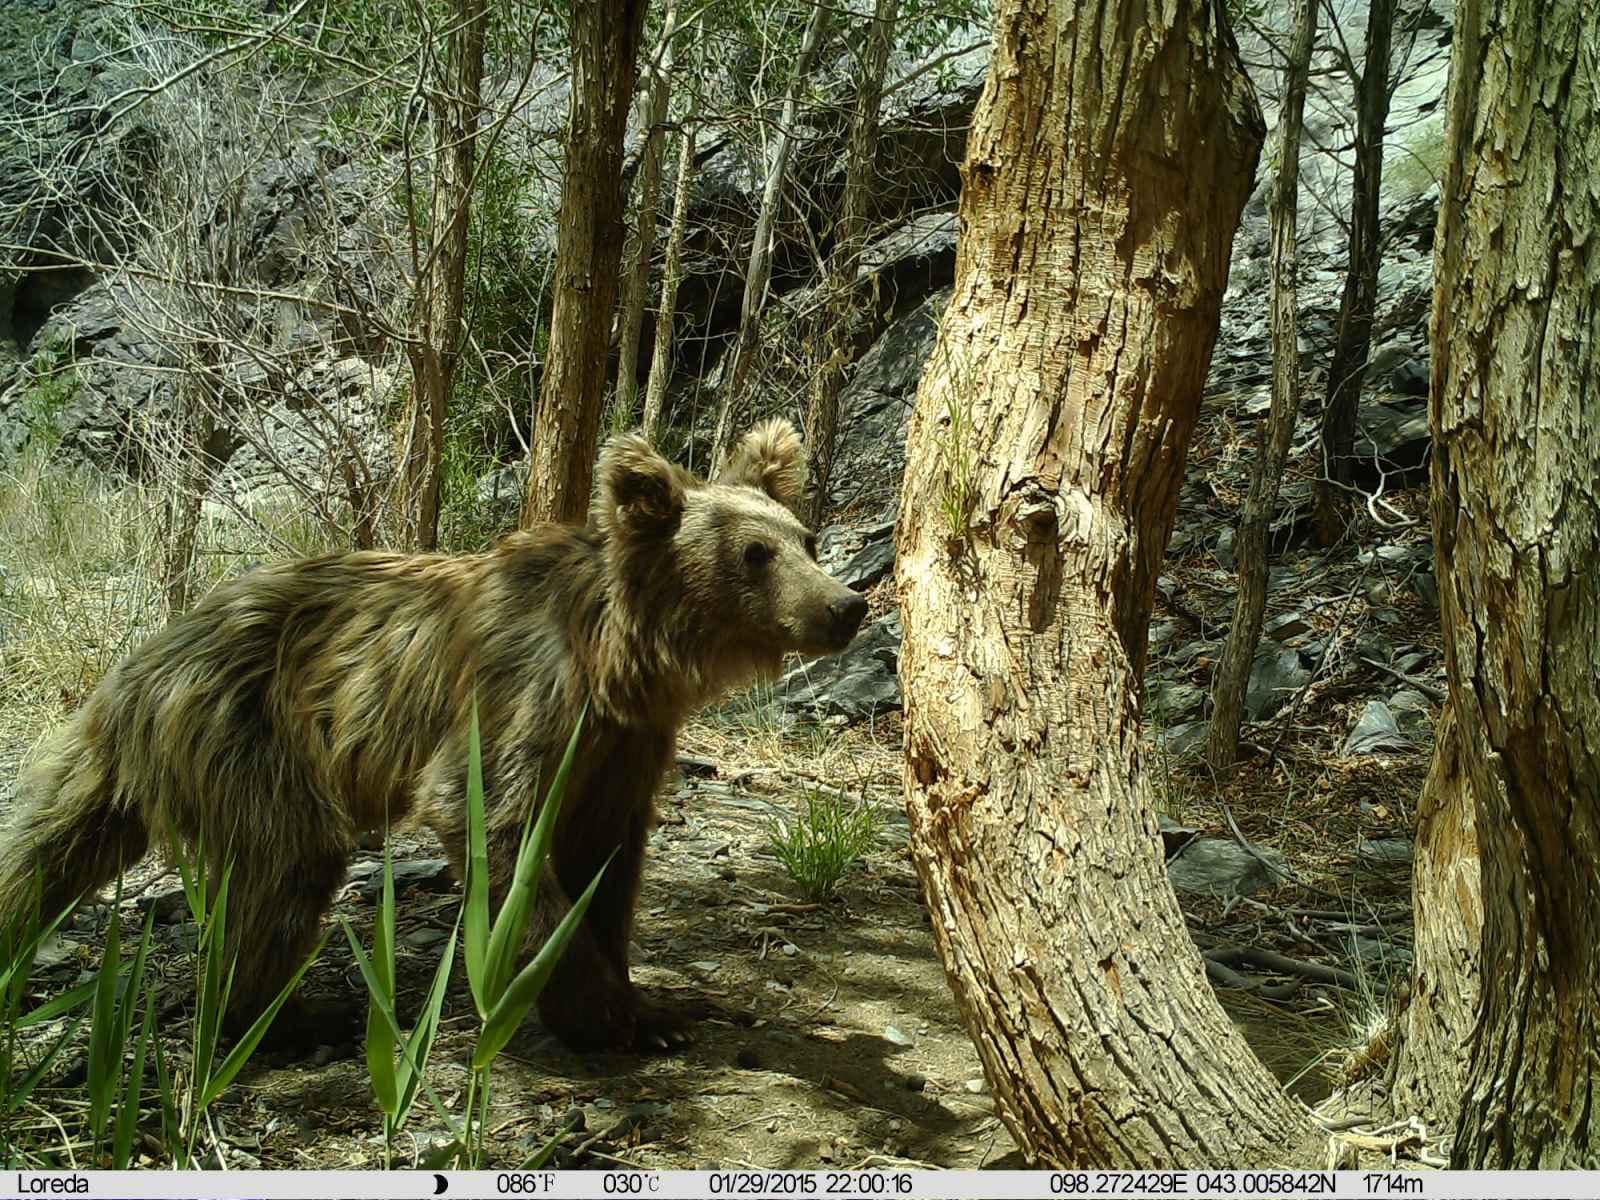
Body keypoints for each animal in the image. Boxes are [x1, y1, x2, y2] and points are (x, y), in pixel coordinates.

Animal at [0, 419, 870, 1049]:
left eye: (805, 540)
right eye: (754, 554)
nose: (847, 605)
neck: (621, 659)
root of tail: (128, 676)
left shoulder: (626, 744)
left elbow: (606, 860)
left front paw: (645, 1001)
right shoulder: (527, 697)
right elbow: (496, 826)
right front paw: (609, 1016)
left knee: (50, 850)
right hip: (250, 732)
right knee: (285, 867)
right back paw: (286, 1019)